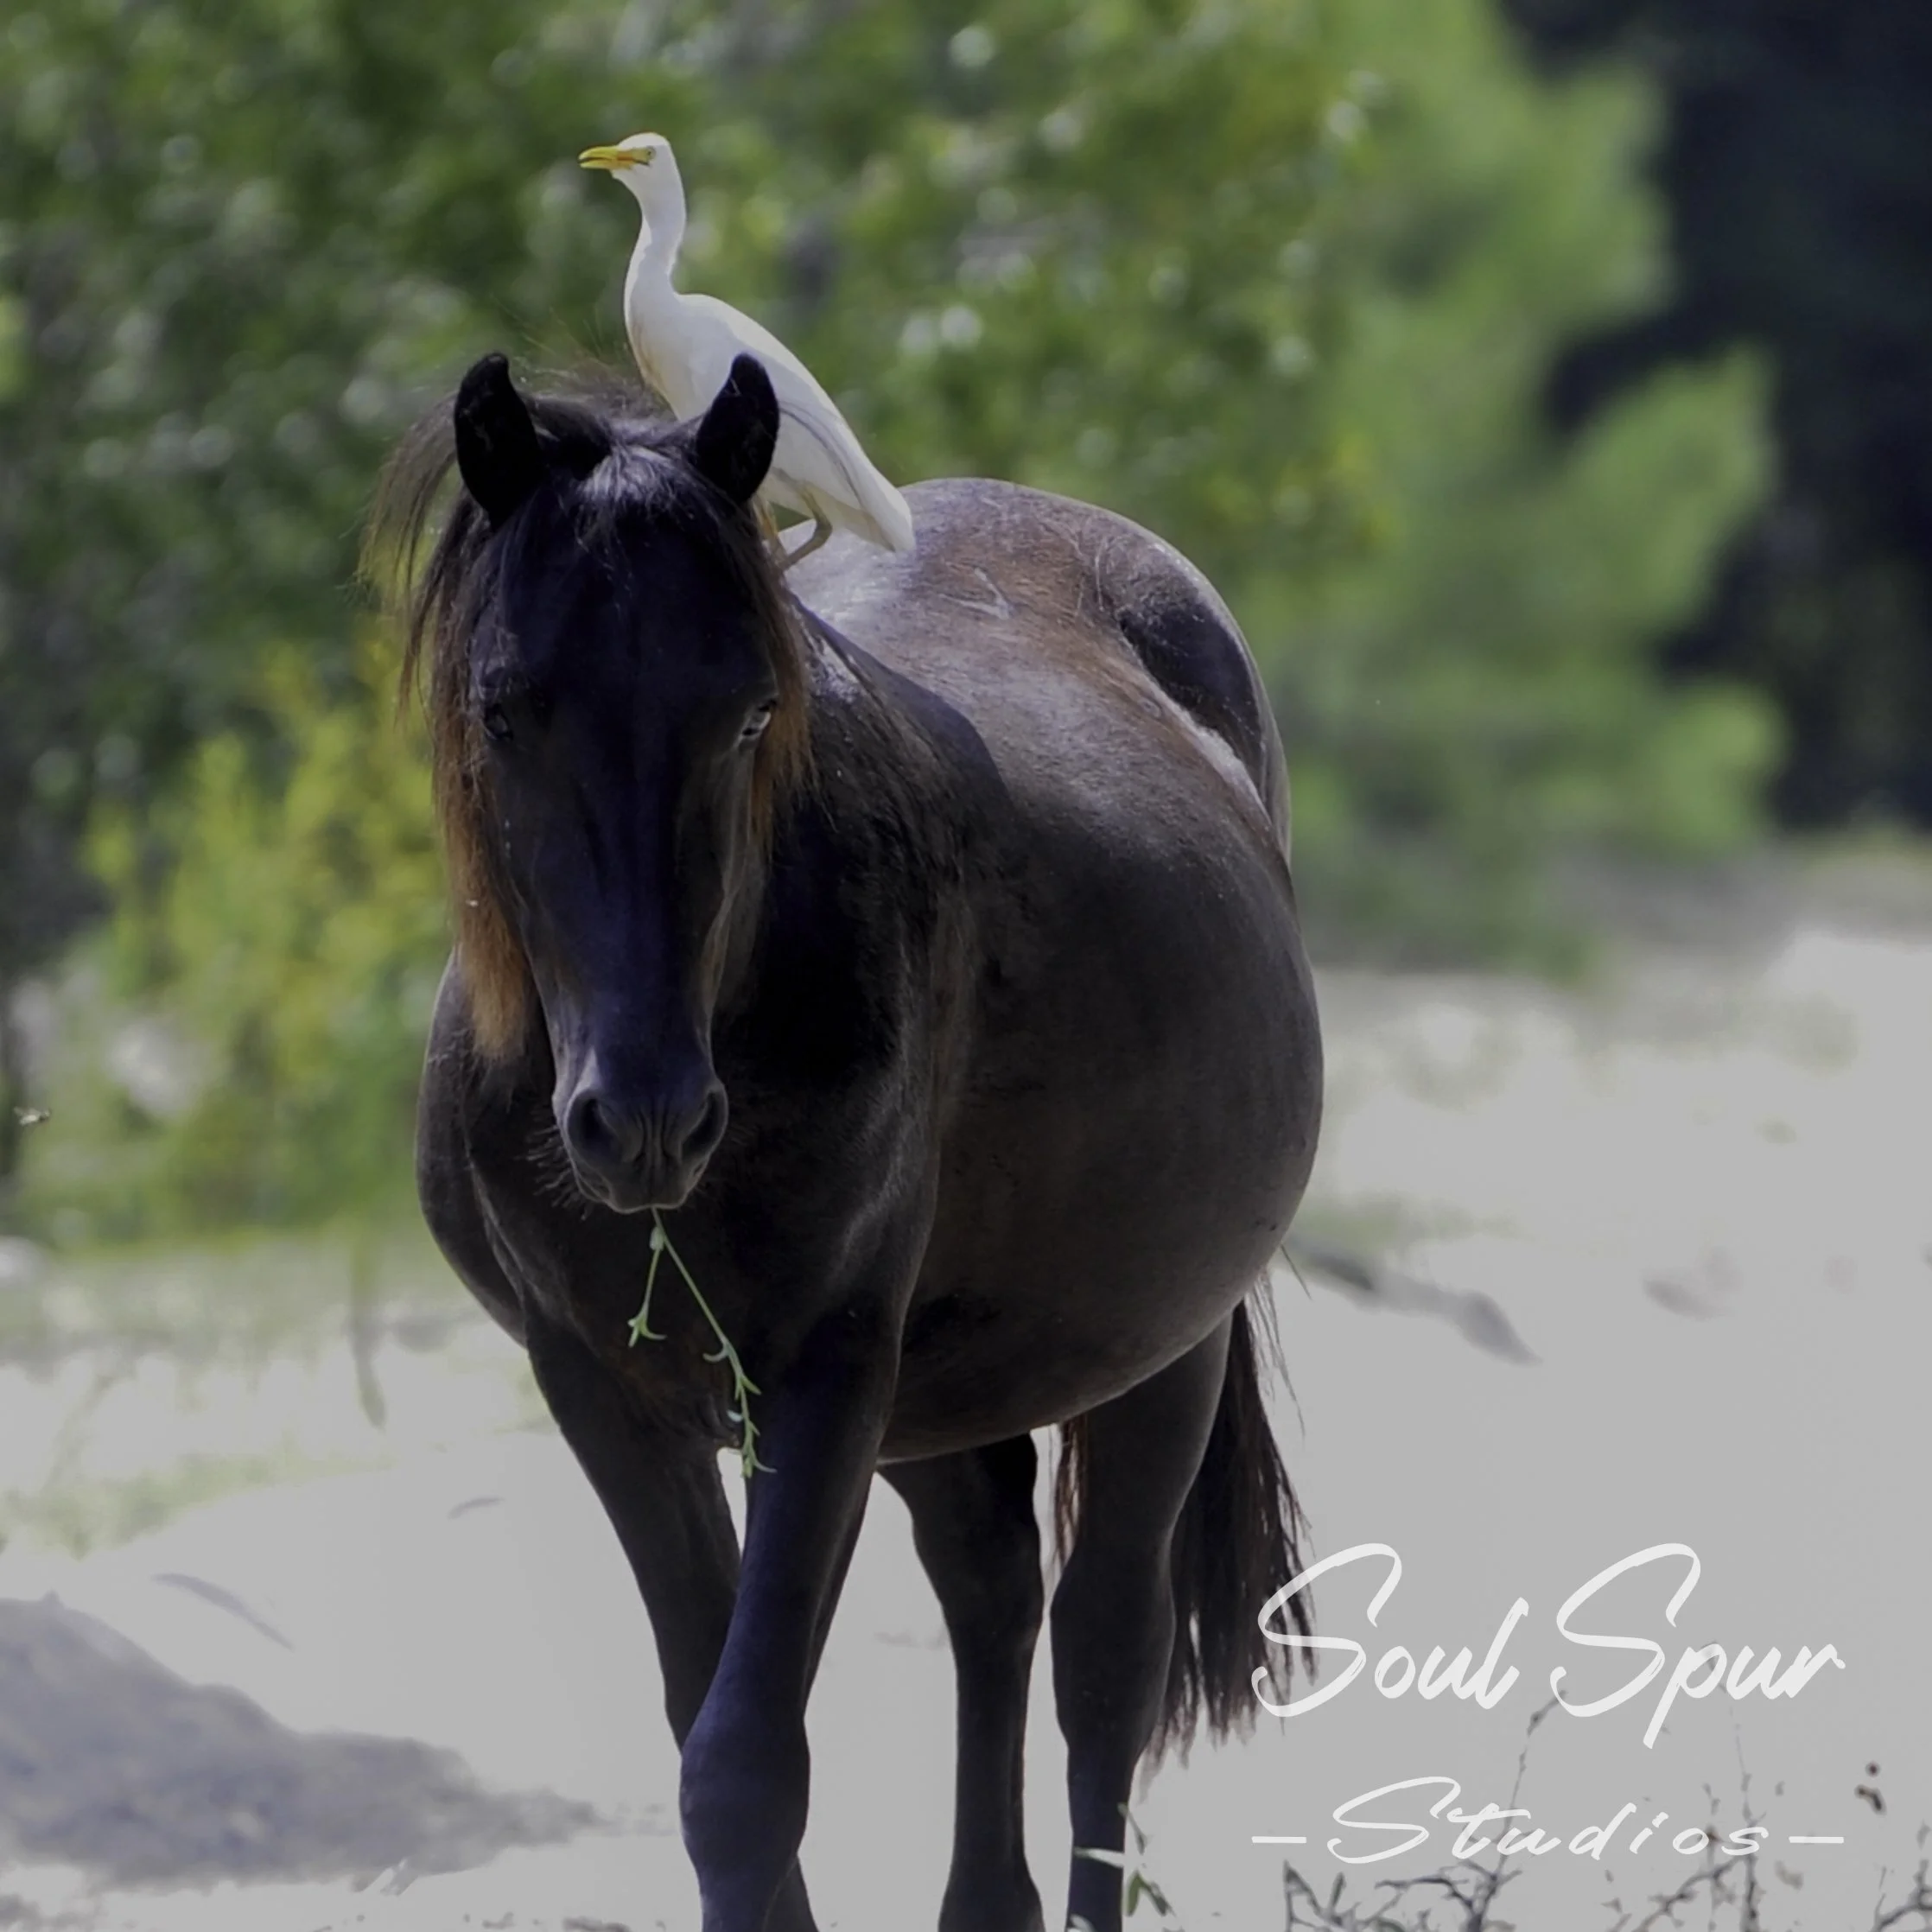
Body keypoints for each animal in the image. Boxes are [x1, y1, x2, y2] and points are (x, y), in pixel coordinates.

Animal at [370, 348, 1322, 1932]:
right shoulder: (605, 1391)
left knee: (1103, 1666)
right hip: (943, 1388)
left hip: (1155, 1353)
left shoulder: (819, 1374)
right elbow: (712, 1723)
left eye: (755, 714)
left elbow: (744, 1768)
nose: (644, 1120)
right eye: (505, 712)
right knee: (991, 1584)